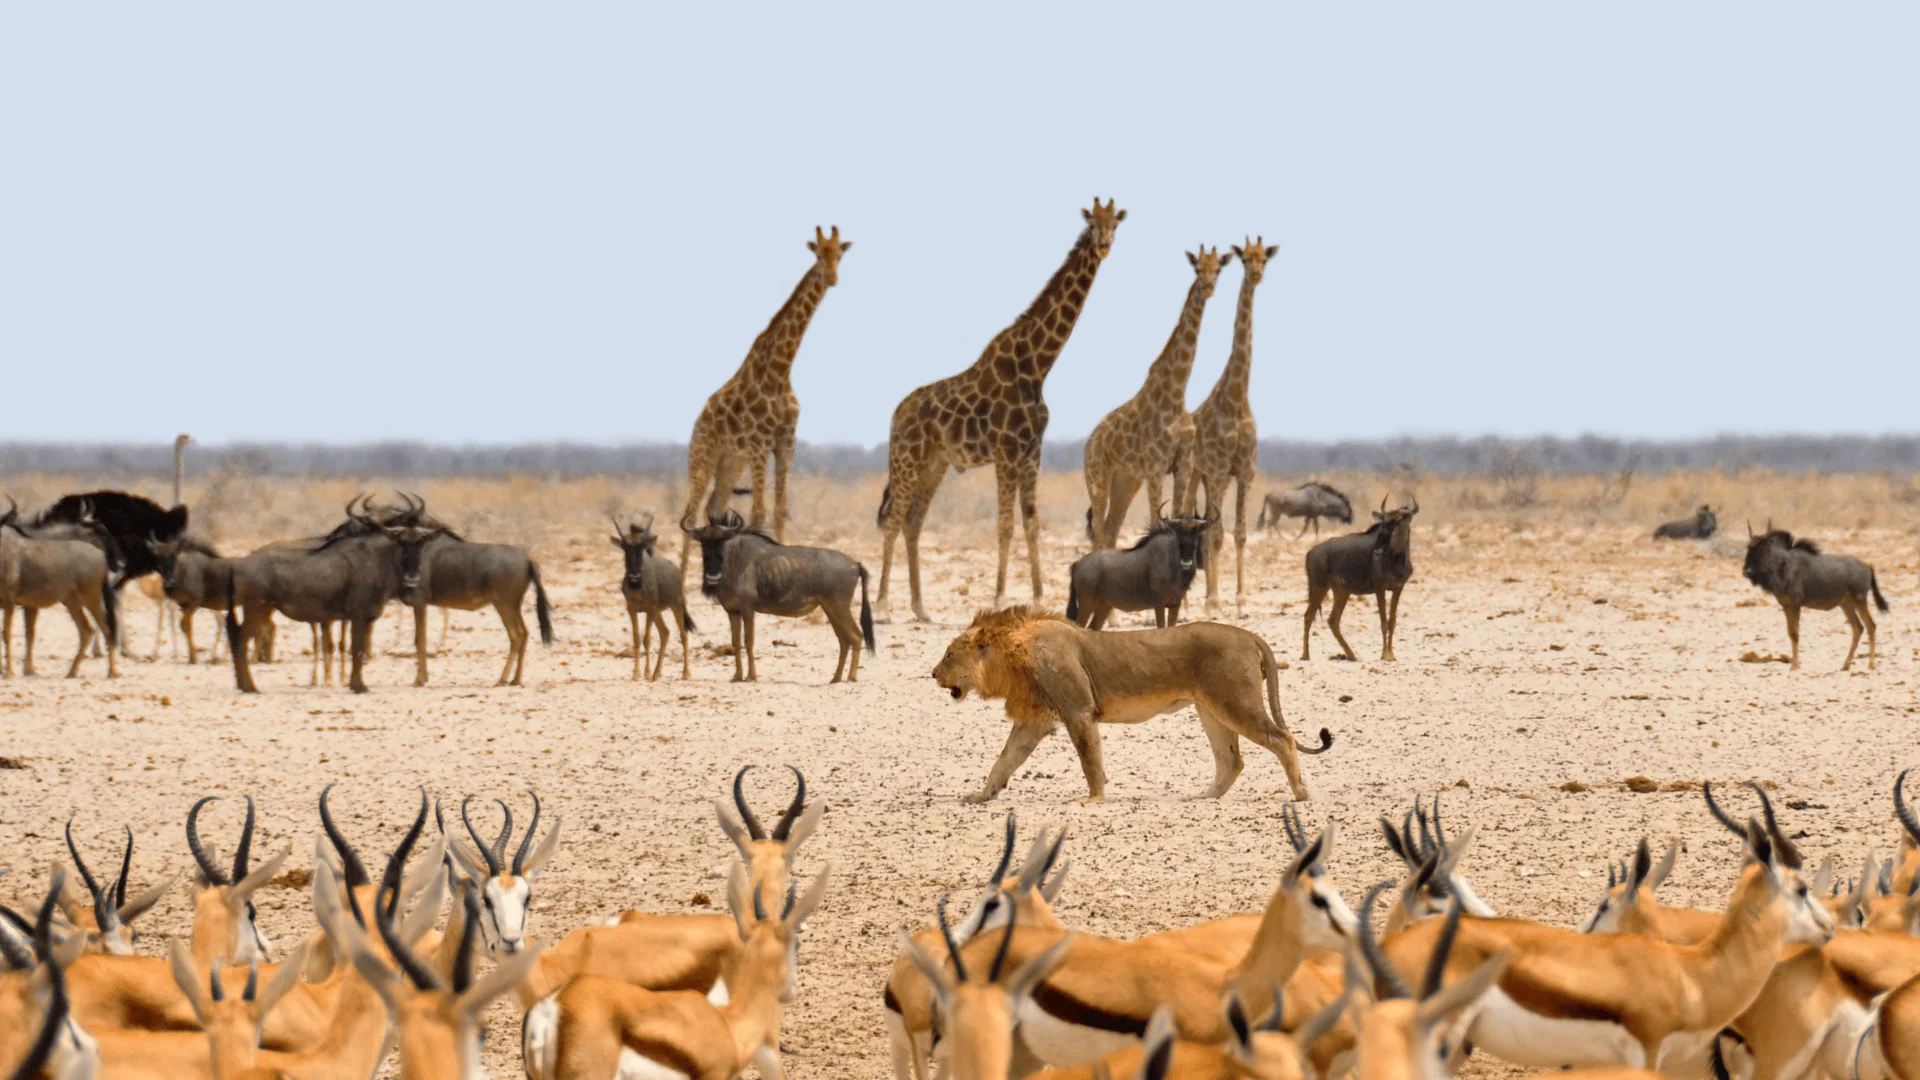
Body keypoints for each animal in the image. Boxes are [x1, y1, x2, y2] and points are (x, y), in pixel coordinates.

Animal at [932, 607, 1332, 804]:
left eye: (949, 654)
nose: (933, 673)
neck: (1012, 657)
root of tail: (1250, 636)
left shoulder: (1078, 711)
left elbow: (1090, 760)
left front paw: (1094, 799)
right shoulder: (1034, 721)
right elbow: (1004, 760)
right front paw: (981, 795)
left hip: (1236, 703)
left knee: (1282, 739)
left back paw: (1300, 794)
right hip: (1212, 710)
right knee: (1231, 760)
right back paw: (1204, 796)